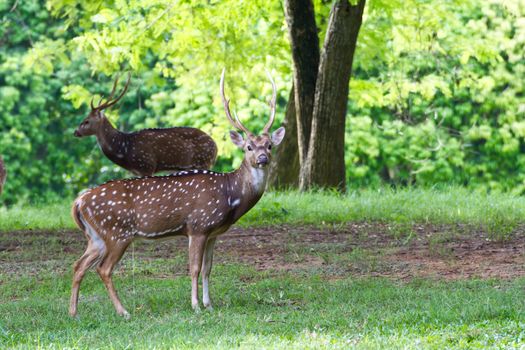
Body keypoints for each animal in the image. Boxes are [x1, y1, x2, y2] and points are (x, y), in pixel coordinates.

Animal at [73, 75, 217, 176]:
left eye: (86, 121)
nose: (75, 132)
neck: (124, 150)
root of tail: (216, 147)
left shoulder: (146, 165)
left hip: (203, 161)